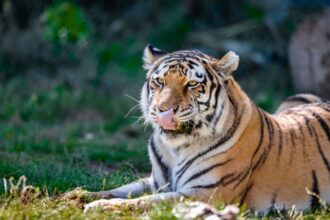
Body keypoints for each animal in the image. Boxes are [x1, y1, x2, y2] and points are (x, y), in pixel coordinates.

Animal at [84, 45, 330, 215]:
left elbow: (148, 200)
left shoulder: (207, 192)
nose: (163, 110)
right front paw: (82, 195)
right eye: (160, 82)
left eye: (192, 84)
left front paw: (101, 207)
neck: (175, 148)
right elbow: (123, 188)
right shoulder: (155, 182)